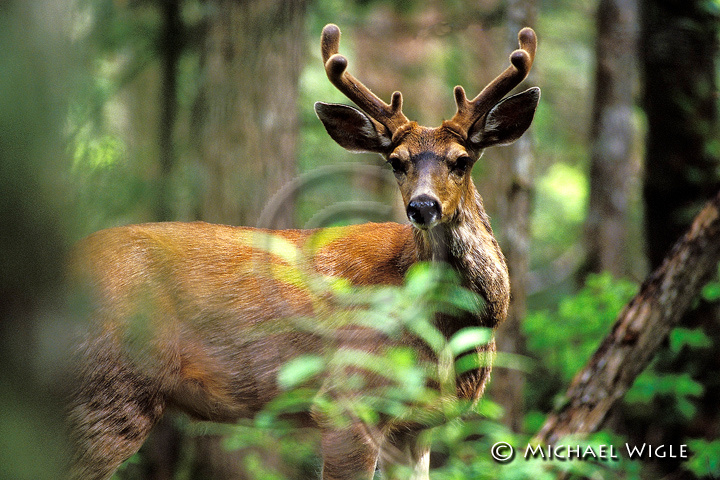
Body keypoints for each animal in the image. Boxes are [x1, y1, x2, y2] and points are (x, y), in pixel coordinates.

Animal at [67, 23, 540, 480]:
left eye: (462, 159)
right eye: (396, 161)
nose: (422, 207)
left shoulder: (418, 425)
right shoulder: (347, 401)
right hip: (112, 387)